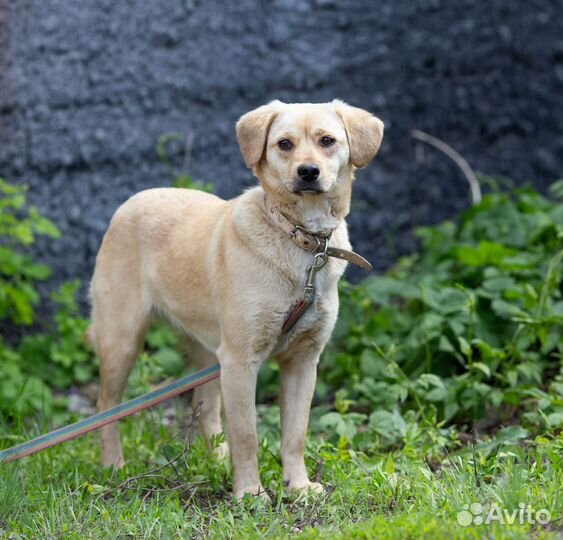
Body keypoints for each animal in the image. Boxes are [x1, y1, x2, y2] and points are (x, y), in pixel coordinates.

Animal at [88, 99, 386, 500]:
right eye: (284, 144)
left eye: (327, 141)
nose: (308, 172)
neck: (300, 241)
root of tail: (135, 199)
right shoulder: (241, 362)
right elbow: (247, 435)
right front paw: (250, 493)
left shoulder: (303, 362)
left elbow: (295, 434)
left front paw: (298, 486)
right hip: (122, 341)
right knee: (107, 406)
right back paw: (113, 466)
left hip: (208, 354)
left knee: (207, 411)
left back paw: (216, 460)